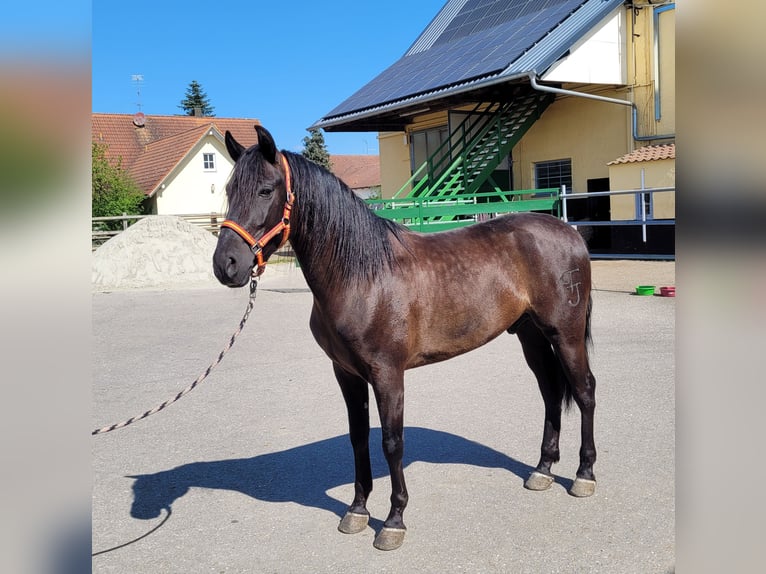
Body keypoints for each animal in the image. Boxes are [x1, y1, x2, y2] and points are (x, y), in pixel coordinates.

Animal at [212, 125, 597, 551]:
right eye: (229, 189)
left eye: (266, 190)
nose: (226, 265)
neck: (362, 275)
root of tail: (569, 233)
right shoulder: (346, 374)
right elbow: (358, 438)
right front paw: (357, 510)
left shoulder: (387, 374)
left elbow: (391, 442)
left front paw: (394, 520)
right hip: (531, 335)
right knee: (551, 392)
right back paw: (543, 468)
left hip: (565, 334)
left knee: (584, 391)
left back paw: (584, 475)